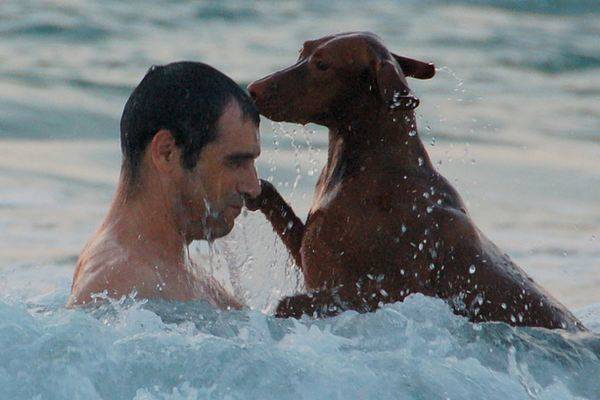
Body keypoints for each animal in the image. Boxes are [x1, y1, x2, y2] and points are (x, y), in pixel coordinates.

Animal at [246, 31, 584, 332]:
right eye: (302, 52)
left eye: (322, 65)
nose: (252, 89)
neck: (373, 167)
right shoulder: (312, 255)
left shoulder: (391, 289)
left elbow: (296, 302)